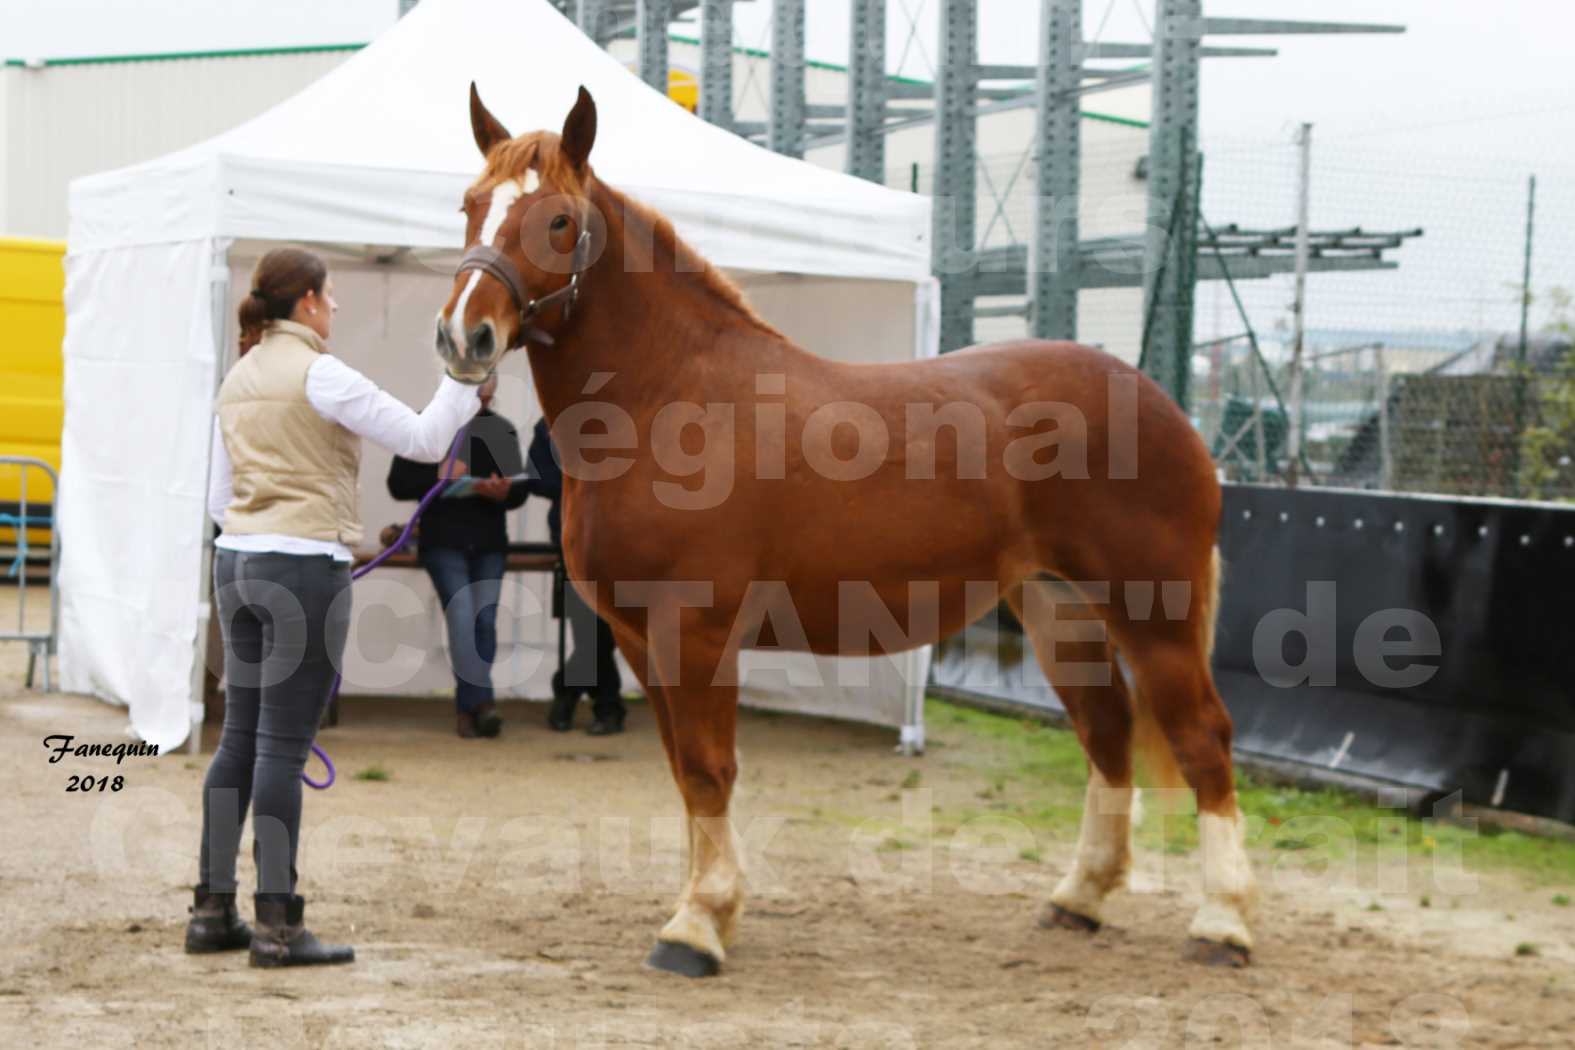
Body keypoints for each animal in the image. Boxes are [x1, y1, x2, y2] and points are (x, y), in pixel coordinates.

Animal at [437, 84, 1260, 976]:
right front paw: (703, 910)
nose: (464, 335)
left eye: (557, 221)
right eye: (470, 205)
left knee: (1202, 738)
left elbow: (708, 770)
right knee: (1105, 731)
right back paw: (1079, 899)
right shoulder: (635, 636)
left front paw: (697, 928)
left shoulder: (696, 632)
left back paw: (1222, 924)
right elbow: (684, 775)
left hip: (1154, 613)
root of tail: (1165, 408)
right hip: (1056, 605)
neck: (668, 401)